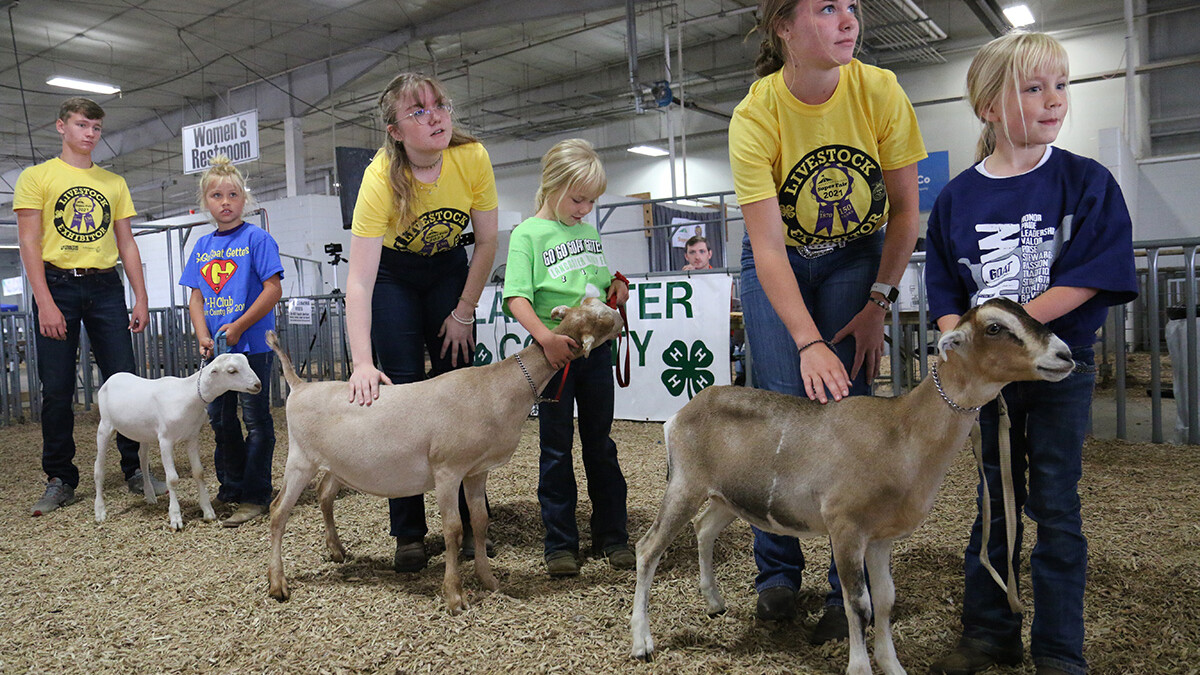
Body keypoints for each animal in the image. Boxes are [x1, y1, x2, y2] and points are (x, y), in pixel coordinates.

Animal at [94, 353, 262, 530]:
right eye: (232, 371)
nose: (257, 385)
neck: (188, 395)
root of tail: (113, 377)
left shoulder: (192, 437)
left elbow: (199, 472)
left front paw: (208, 512)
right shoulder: (165, 440)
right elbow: (173, 479)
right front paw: (175, 518)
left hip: (143, 432)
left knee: (143, 460)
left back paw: (150, 495)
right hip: (105, 425)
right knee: (99, 468)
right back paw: (100, 512)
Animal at [261, 296, 619, 612]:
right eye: (601, 318)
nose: (619, 314)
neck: (498, 387)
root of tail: (299, 386)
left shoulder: (476, 470)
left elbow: (480, 521)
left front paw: (489, 581)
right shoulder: (447, 469)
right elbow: (453, 529)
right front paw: (454, 596)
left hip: (337, 463)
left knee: (324, 493)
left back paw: (335, 551)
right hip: (300, 459)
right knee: (278, 511)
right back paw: (278, 584)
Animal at [633, 296, 1075, 672]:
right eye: (996, 328)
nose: (1065, 355)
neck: (900, 432)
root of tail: (681, 414)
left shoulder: (880, 537)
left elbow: (885, 601)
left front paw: (893, 666)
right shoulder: (845, 527)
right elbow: (857, 604)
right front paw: (860, 667)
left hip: (728, 496)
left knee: (704, 527)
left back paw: (713, 602)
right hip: (685, 484)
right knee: (648, 549)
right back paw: (642, 642)